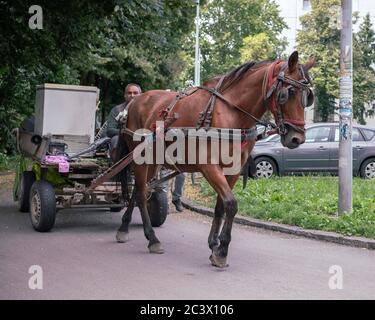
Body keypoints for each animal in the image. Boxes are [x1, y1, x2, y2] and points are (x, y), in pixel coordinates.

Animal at [116, 52, 316, 268]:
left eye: (308, 97)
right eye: (286, 94)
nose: (297, 138)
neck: (231, 113)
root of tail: (134, 102)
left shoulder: (233, 169)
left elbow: (221, 205)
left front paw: (214, 244)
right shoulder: (209, 167)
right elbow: (231, 203)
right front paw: (222, 250)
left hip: (153, 161)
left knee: (139, 190)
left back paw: (124, 227)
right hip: (140, 158)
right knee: (141, 192)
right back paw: (152, 238)